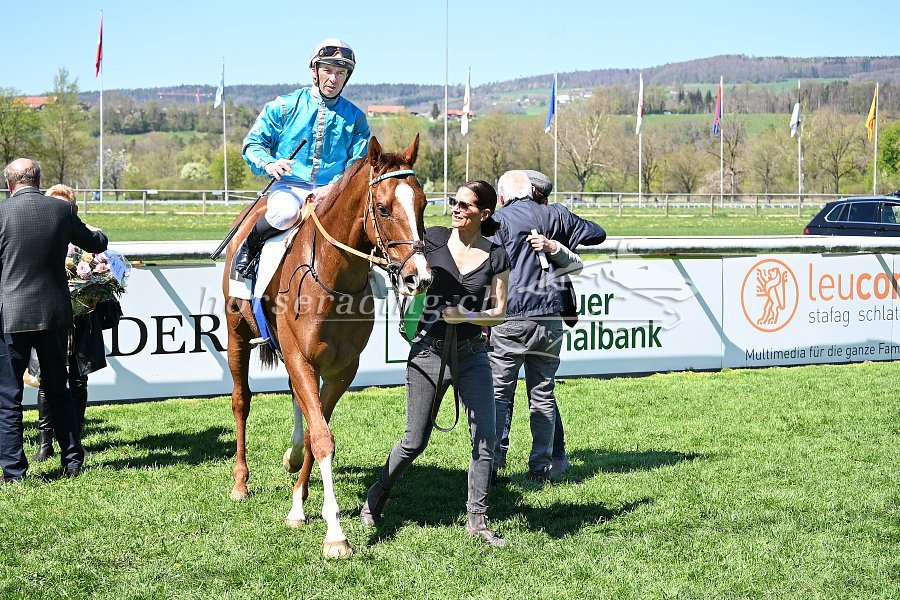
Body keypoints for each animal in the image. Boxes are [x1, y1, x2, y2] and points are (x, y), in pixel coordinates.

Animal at [222, 135, 432, 557]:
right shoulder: (302, 358)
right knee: (241, 401)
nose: (419, 277)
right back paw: (240, 481)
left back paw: (291, 455)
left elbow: (319, 428)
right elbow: (322, 438)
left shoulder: (340, 370)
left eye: (422, 204)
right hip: (237, 334)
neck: (333, 280)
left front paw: (299, 503)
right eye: (383, 207)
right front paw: (335, 532)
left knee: (297, 399)